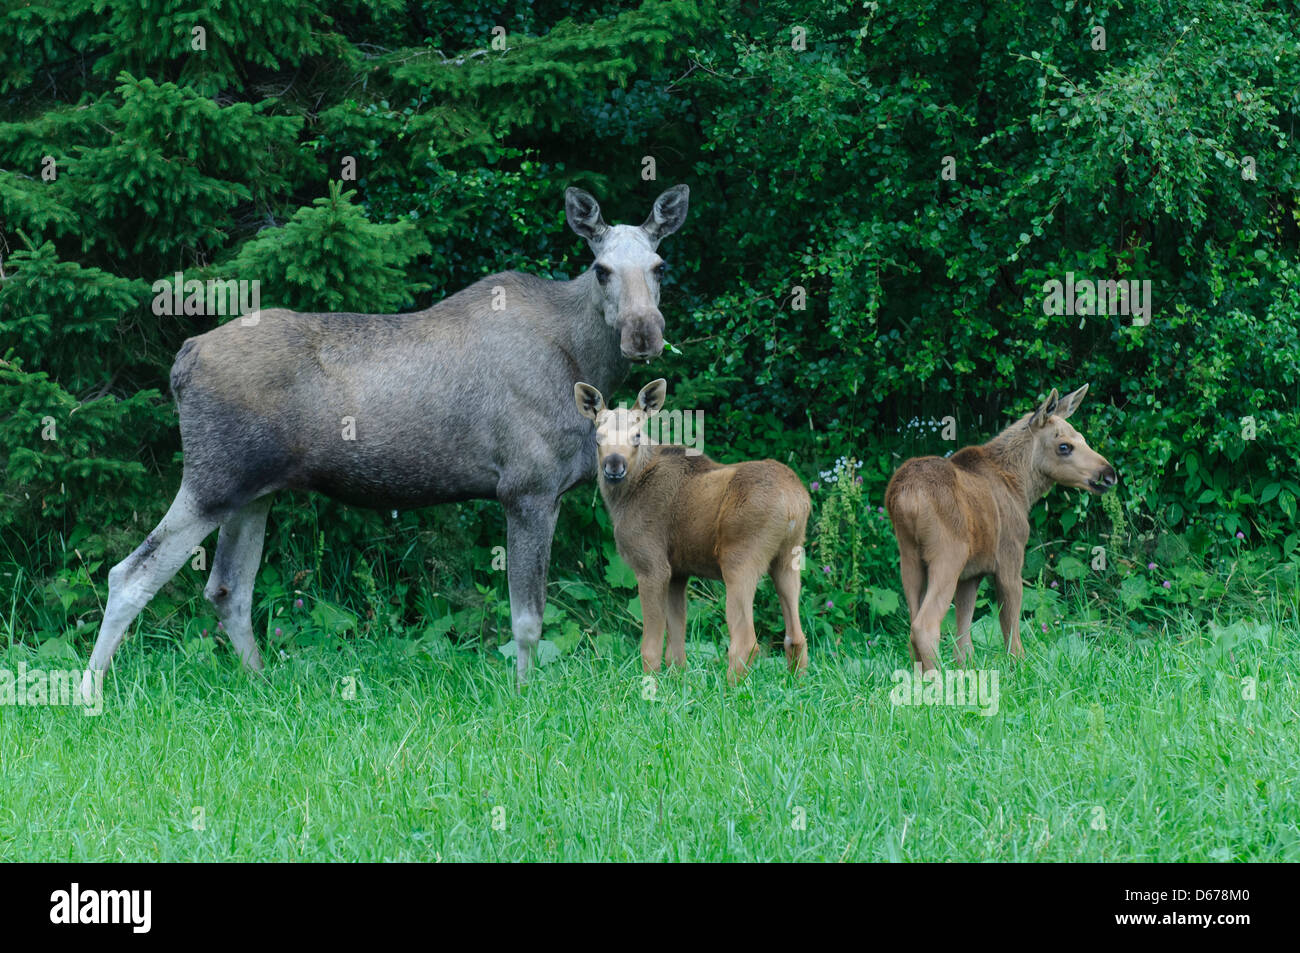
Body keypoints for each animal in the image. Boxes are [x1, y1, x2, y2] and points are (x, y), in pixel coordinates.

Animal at [78, 184, 691, 696]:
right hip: (212, 481)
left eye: (660, 266)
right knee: (130, 574)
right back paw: (89, 693)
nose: (643, 333)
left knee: (227, 589)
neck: (582, 359)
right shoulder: (528, 490)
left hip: (253, 493)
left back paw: (262, 685)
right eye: (601, 268)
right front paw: (523, 696)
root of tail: (182, 360)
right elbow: (526, 621)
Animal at [572, 374, 806, 681]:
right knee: (797, 636)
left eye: (637, 436)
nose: (614, 465)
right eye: (597, 437)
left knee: (746, 642)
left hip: (740, 559)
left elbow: (651, 647)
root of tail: (794, 502)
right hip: (788, 558)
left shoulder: (652, 566)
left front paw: (649, 684)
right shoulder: (678, 572)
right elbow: (677, 648)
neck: (623, 498)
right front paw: (677, 682)